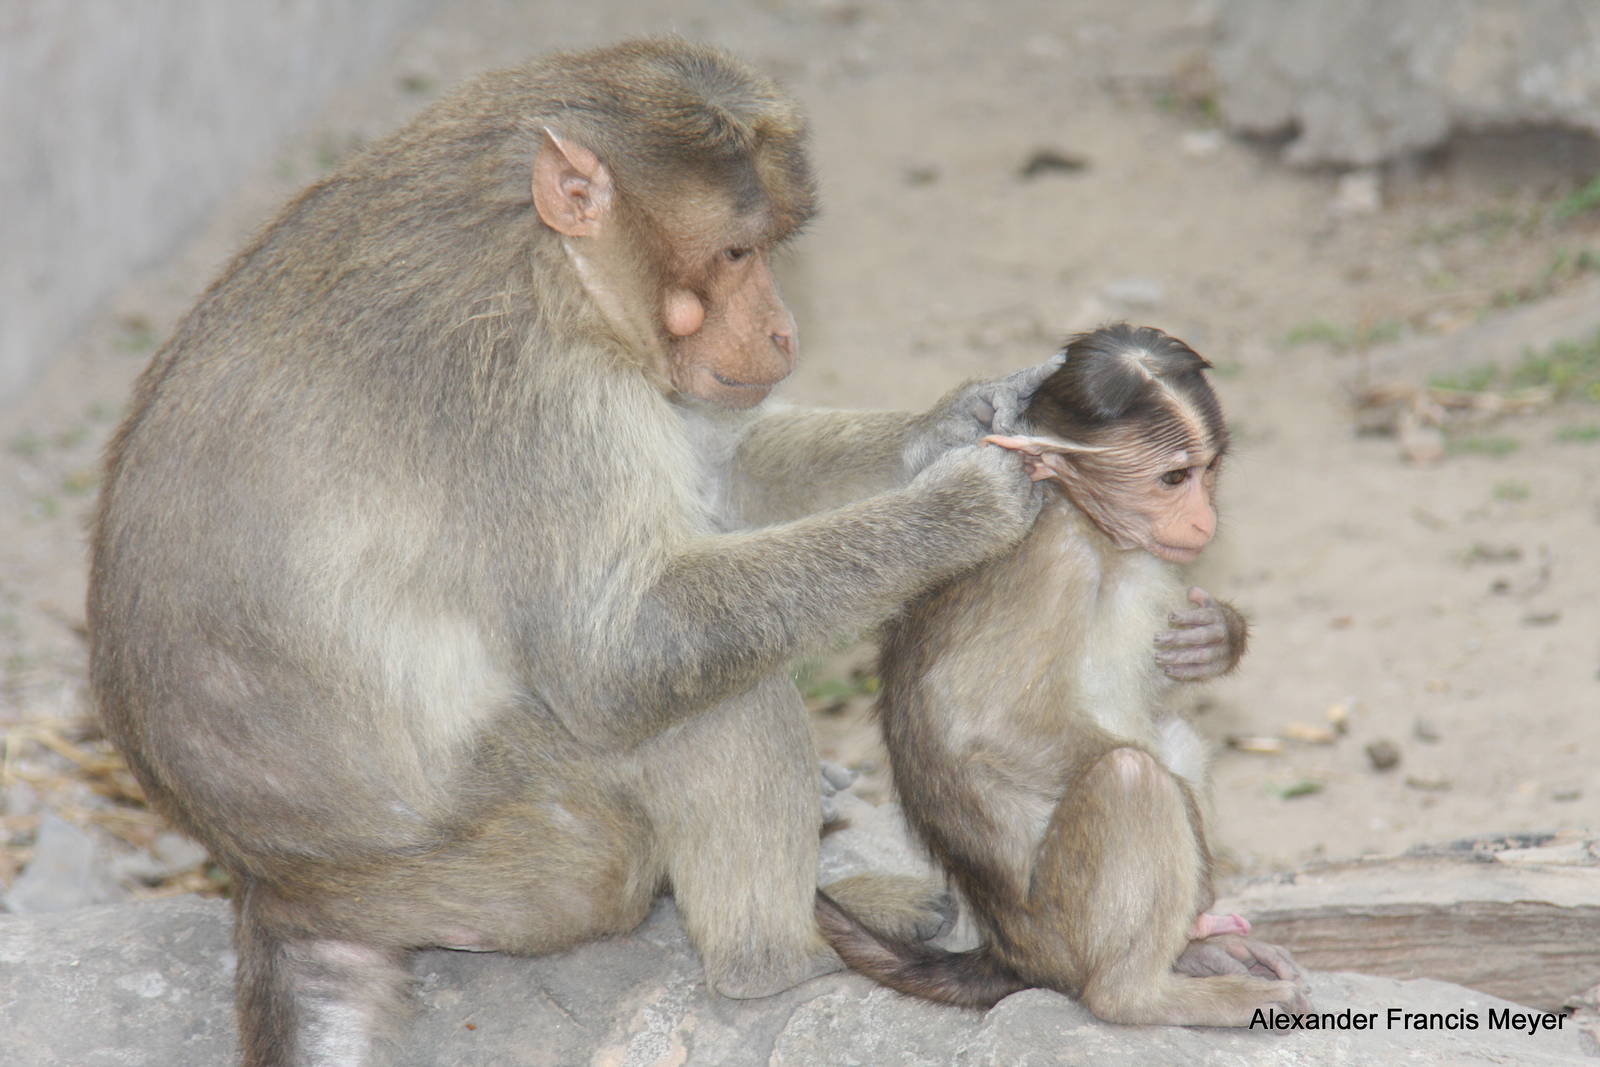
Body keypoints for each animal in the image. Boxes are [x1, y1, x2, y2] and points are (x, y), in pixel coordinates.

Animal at [87, 40, 1054, 1066]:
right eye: (737, 253)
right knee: (699, 699)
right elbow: (616, 654)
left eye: (769, 249)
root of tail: (272, 885)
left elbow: (715, 478)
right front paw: (964, 506)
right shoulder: (522, 392)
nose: (784, 330)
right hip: (527, 853)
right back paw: (779, 958)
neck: (550, 262)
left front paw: (963, 419)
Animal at [817, 324, 1310, 1027]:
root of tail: (1011, 952)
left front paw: (1217, 637)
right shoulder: (1045, 560)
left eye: (1208, 470)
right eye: (1173, 477)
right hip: (1060, 926)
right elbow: (980, 723)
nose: (1204, 519)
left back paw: (1192, 952)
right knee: (1130, 776)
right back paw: (1146, 990)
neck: (1091, 529)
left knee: (1172, 736)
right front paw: (1192, 848)